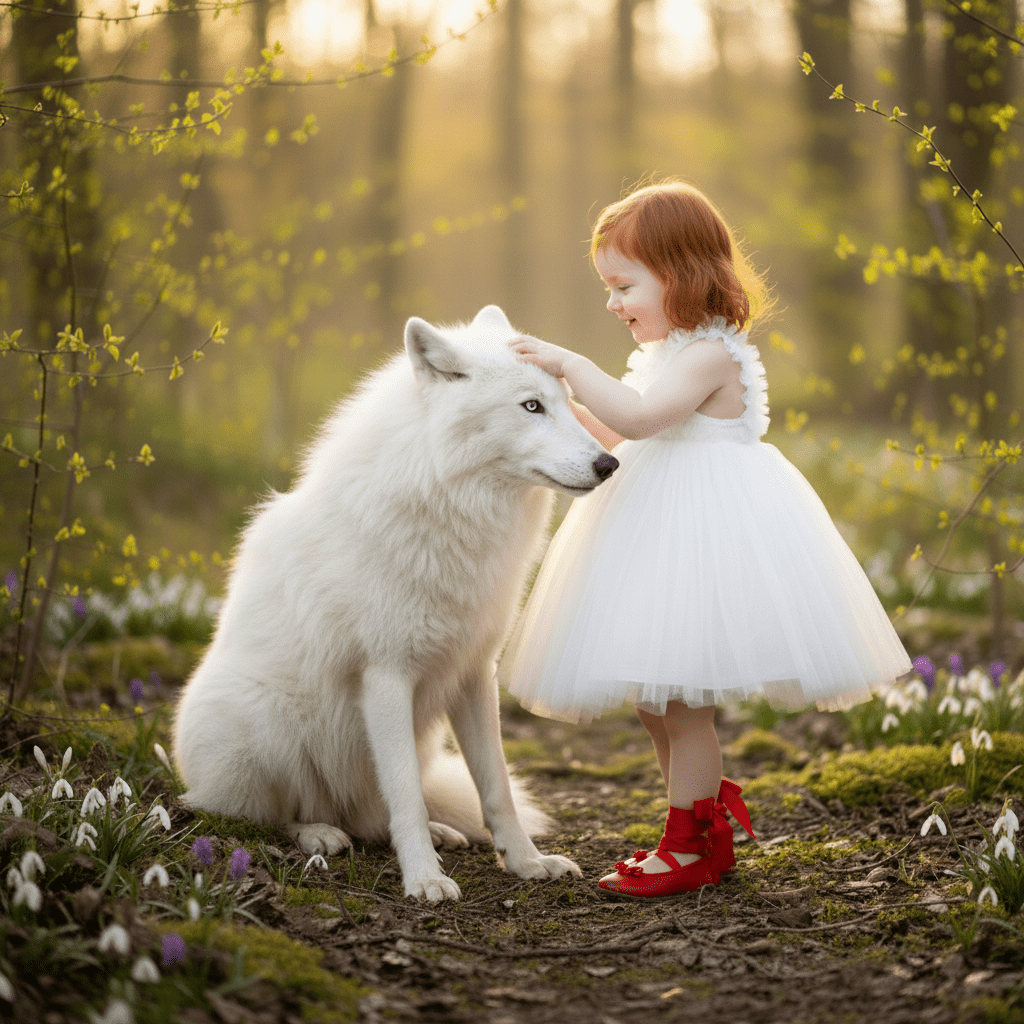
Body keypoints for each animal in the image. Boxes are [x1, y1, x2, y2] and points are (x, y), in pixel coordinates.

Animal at [172, 305, 618, 902]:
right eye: (531, 406)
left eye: (567, 402)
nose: (609, 463)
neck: (451, 507)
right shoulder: (385, 677)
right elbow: (404, 794)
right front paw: (425, 879)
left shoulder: (473, 673)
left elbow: (495, 786)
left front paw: (527, 863)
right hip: (266, 724)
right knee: (266, 814)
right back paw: (319, 833)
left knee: (375, 816)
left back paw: (434, 829)